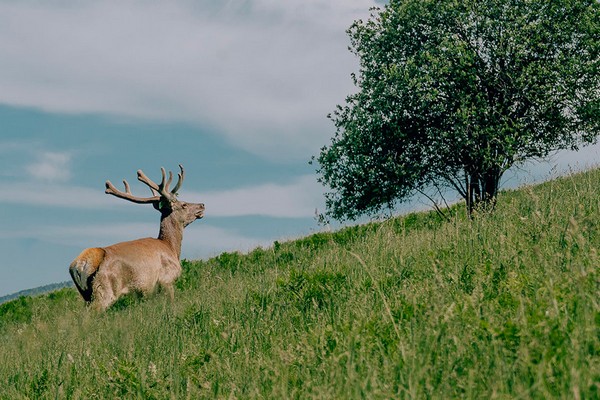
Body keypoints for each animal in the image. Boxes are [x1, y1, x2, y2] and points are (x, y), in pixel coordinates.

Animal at [69, 164, 203, 310]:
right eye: (184, 204)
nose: (202, 205)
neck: (171, 248)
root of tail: (79, 264)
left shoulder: (145, 292)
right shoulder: (167, 279)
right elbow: (171, 303)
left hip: (86, 295)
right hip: (105, 291)